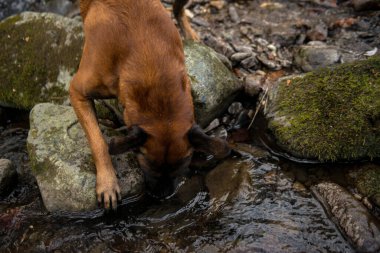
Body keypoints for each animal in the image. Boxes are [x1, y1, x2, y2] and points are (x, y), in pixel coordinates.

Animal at [69, 0, 229, 210]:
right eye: (149, 166)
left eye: (180, 168)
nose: (163, 196)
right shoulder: (78, 92)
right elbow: (99, 142)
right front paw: (107, 182)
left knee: (178, 9)